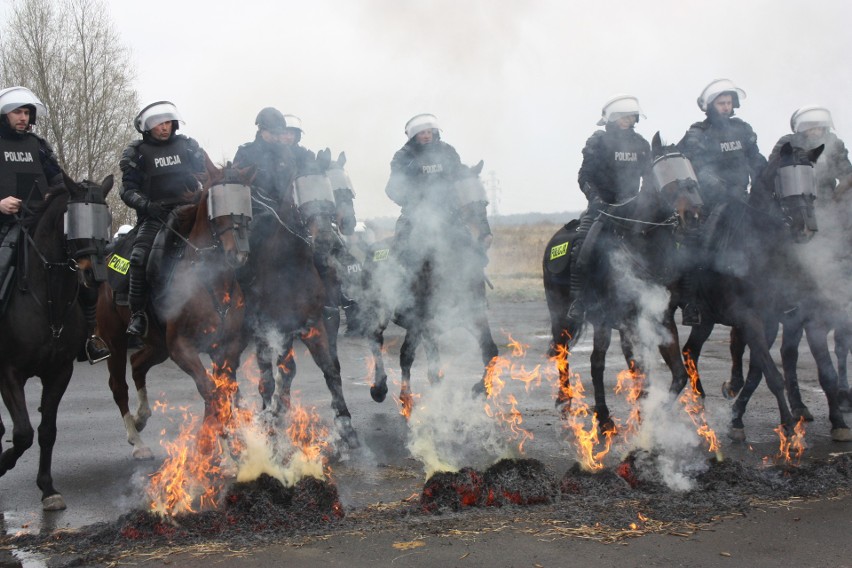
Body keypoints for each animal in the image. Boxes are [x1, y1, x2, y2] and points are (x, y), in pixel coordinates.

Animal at [0, 174, 112, 510]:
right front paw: (3, 463)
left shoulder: (59, 371)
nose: (94, 276)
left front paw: (47, 487)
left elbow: (46, 430)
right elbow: (23, 433)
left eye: (105, 218)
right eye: (73, 218)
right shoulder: (9, 372)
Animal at [97, 165, 253, 462]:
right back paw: (138, 441)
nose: (238, 255)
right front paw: (220, 448)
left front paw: (221, 446)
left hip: (158, 346)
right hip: (115, 339)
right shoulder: (182, 347)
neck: (210, 281)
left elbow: (221, 393)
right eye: (216, 203)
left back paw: (141, 418)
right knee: (118, 385)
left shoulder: (224, 350)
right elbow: (211, 392)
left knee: (137, 364)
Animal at [364, 160, 500, 408]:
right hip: (379, 311)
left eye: (485, 202)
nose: (484, 239)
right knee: (375, 341)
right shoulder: (417, 319)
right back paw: (379, 387)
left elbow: (490, 349)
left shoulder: (472, 315)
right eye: (456, 199)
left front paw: (481, 389)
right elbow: (406, 355)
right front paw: (406, 398)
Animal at [544, 134, 704, 430]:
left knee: (600, 362)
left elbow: (678, 375)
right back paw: (572, 405)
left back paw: (605, 417)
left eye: (686, 167)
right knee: (569, 355)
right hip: (564, 316)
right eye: (662, 171)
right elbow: (640, 372)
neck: (644, 242)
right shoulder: (630, 320)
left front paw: (653, 415)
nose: (695, 215)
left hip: (606, 323)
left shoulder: (662, 318)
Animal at [680, 141, 852, 440]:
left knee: (691, 350)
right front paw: (787, 425)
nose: (806, 228)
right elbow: (772, 375)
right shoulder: (751, 318)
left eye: (811, 179)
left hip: (708, 319)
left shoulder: (773, 320)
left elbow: (760, 371)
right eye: (785, 178)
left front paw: (738, 418)